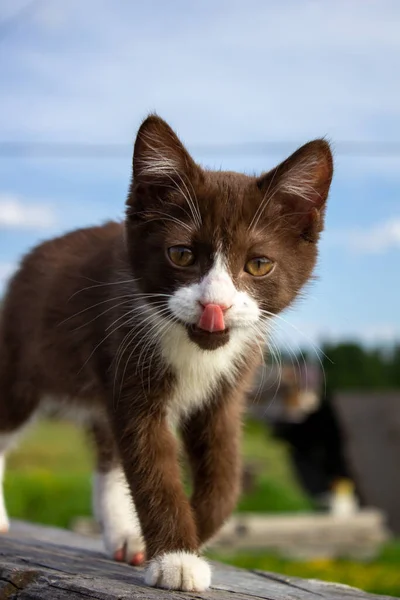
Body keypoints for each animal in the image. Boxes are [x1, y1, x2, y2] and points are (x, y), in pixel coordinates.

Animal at [0, 115, 332, 592]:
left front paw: (179, 534)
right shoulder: (127, 356)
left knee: (108, 451)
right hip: (23, 358)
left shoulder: (229, 389)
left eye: (258, 264)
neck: (194, 349)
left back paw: (123, 534)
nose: (215, 306)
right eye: (181, 254)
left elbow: (225, 473)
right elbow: (150, 461)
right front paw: (177, 558)